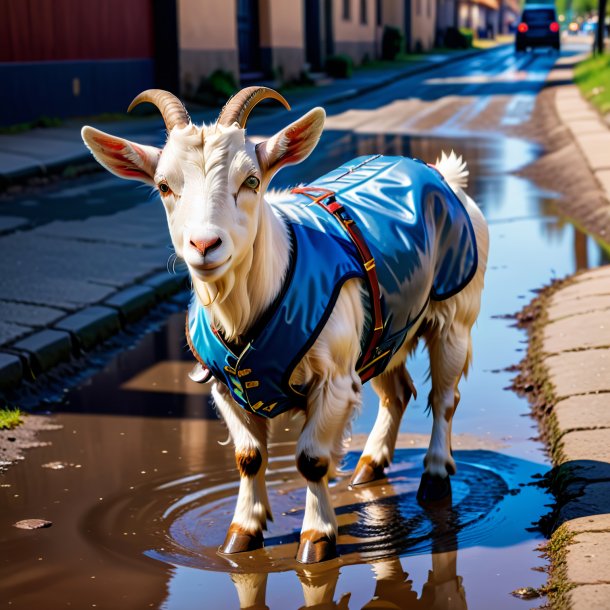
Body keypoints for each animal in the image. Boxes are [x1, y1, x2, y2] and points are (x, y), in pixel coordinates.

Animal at [82, 85, 490, 560]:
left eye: (251, 181)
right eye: (165, 186)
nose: (204, 244)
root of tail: (444, 176)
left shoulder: (334, 379)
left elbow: (311, 459)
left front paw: (316, 538)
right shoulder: (225, 386)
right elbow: (249, 458)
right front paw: (242, 533)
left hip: (455, 312)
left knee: (444, 398)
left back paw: (435, 476)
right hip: (387, 329)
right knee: (397, 392)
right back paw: (369, 466)